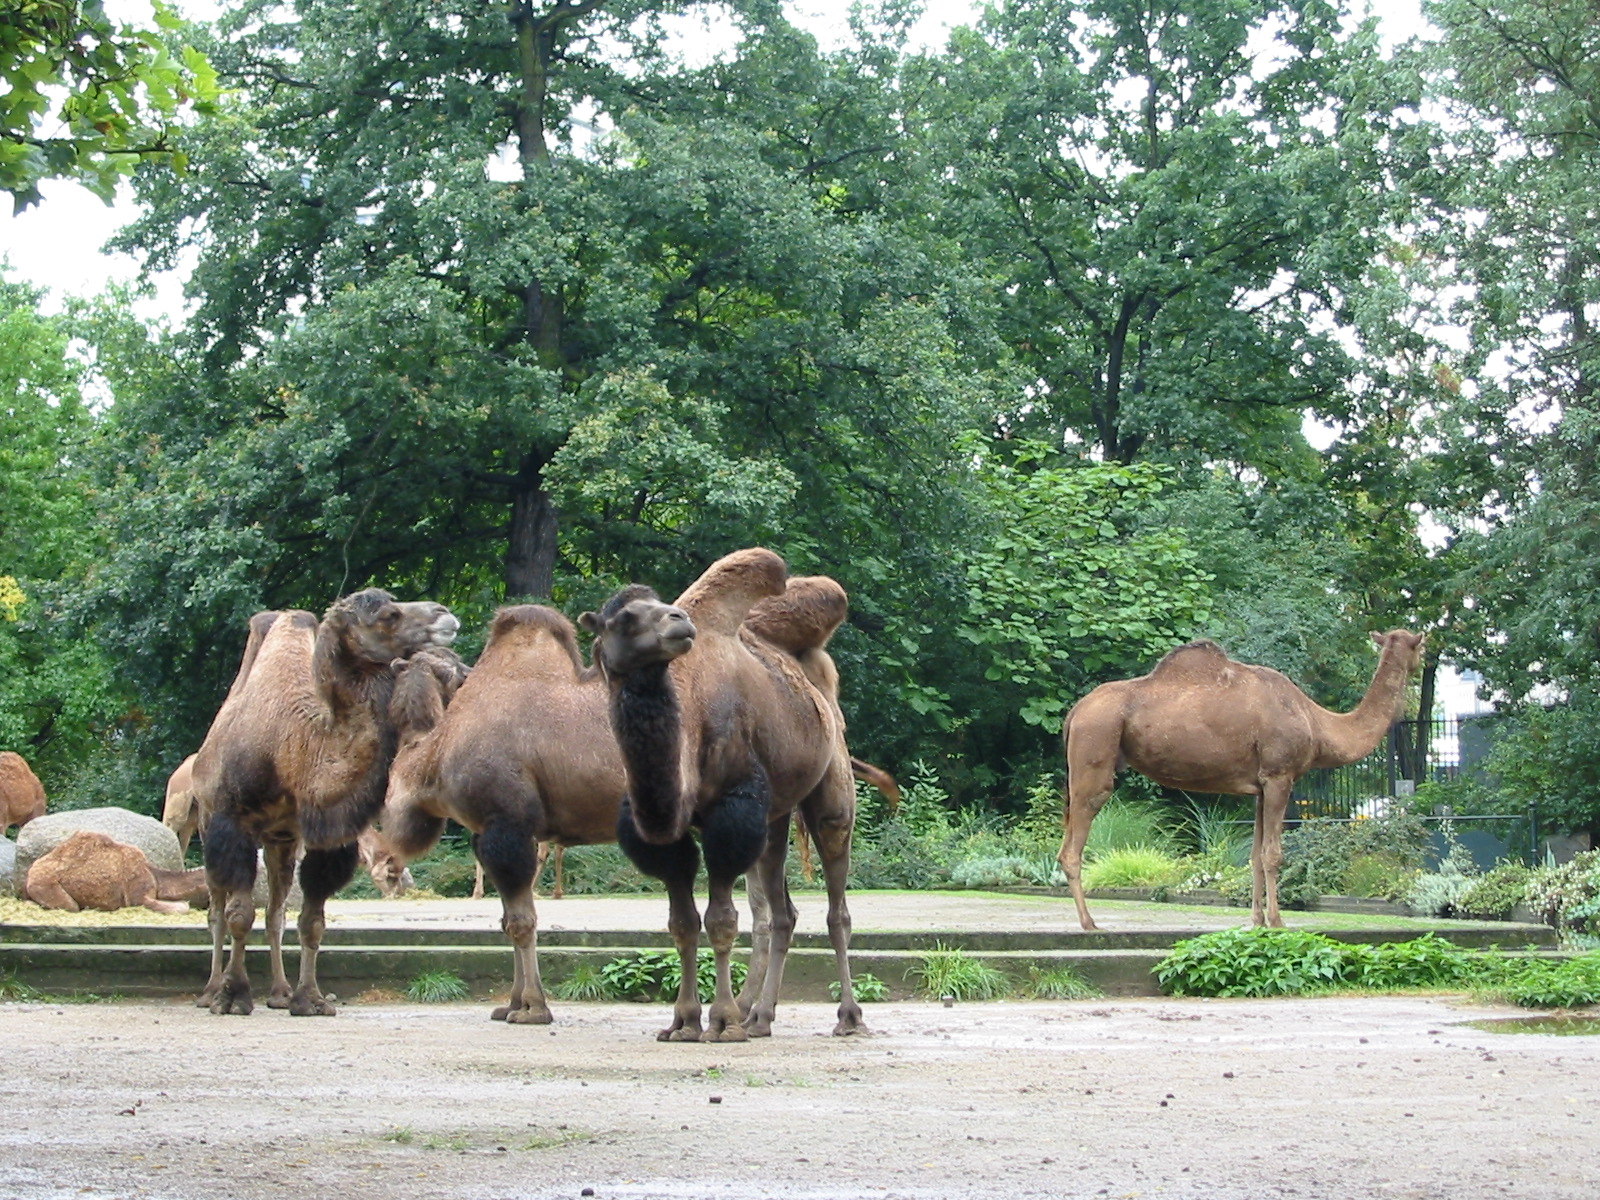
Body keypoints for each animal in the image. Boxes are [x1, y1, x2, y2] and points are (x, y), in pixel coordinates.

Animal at [189, 588, 459, 1017]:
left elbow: (312, 921)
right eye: (388, 615)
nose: (444, 613)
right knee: (217, 910)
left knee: (276, 912)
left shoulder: (324, 835)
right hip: (208, 821)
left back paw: (279, 992)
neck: (292, 747)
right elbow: (238, 915)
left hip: (281, 841)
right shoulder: (235, 823)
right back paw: (210, 991)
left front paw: (309, 999)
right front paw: (233, 996)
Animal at [580, 548, 866, 1042]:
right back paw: (762, 1017)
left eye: (662, 605)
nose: (679, 622)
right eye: (625, 618)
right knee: (784, 912)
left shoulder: (730, 813)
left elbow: (721, 920)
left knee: (837, 908)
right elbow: (682, 924)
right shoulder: (667, 837)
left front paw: (721, 1019)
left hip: (832, 789)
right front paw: (682, 1021)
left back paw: (848, 1017)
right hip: (774, 817)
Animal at [1059, 629, 1428, 930]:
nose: (1421, 666)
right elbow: (1273, 854)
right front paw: (1277, 921)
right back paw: (1089, 923)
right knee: (1075, 842)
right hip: (1096, 743)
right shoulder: (1280, 776)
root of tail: (1075, 712)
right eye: (1421, 646)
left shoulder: (1262, 787)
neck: (1318, 724)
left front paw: (1257, 920)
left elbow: (1255, 855)